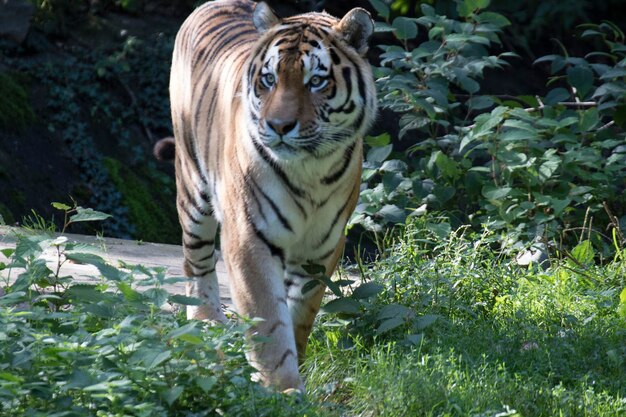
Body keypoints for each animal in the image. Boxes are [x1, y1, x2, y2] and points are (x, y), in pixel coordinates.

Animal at [153, 0, 376, 390]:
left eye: (316, 81)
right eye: (269, 79)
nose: (279, 126)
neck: (311, 168)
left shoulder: (322, 247)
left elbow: (299, 312)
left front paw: (295, 367)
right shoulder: (249, 238)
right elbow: (269, 322)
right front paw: (282, 389)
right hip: (193, 188)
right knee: (196, 261)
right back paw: (206, 322)